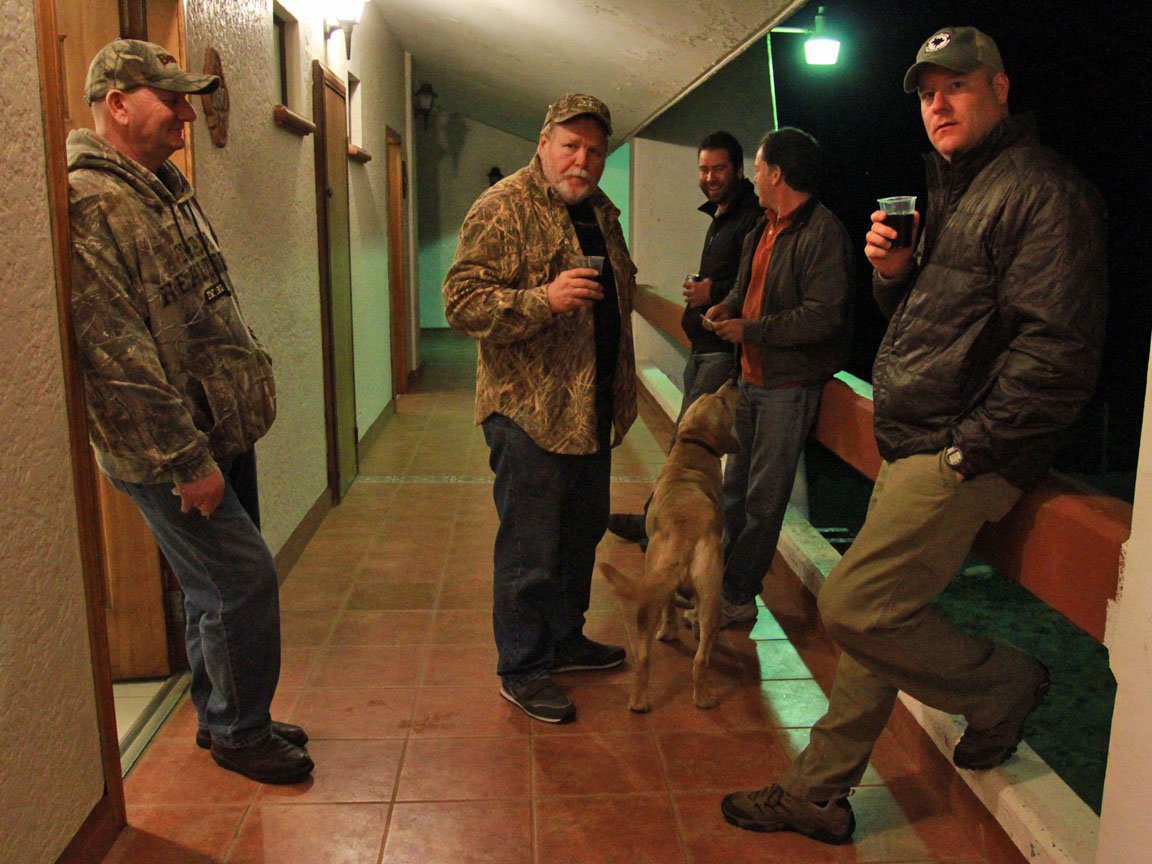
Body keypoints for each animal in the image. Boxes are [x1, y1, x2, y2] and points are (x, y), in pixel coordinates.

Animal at [603, 382, 737, 714]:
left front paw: (669, 631)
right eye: (722, 401)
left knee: (644, 657)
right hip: (711, 596)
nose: (733, 380)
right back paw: (704, 698)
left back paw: (640, 703)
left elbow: (669, 609)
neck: (693, 448)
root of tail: (686, 535)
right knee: (701, 657)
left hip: (655, 597)